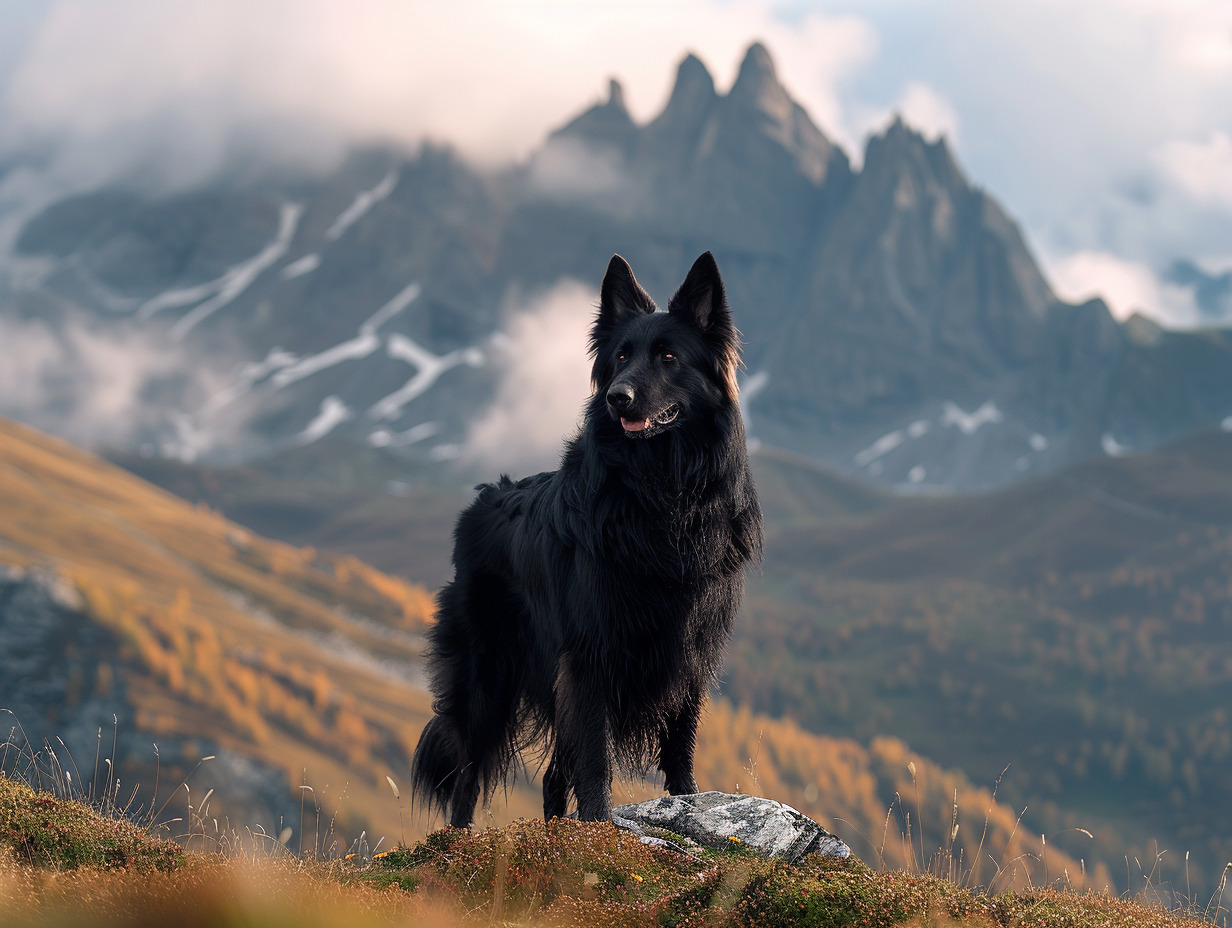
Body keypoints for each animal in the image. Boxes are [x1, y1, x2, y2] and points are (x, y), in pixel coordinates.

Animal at [411, 250, 758, 823]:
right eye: (620, 357)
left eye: (668, 356)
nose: (617, 398)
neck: (660, 495)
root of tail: (483, 499)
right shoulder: (591, 649)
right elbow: (595, 754)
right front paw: (598, 824)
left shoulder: (690, 645)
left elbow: (680, 737)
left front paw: (687, 801)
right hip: (489, 677)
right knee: (467, 773)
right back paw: (457, 839)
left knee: (554, 774)